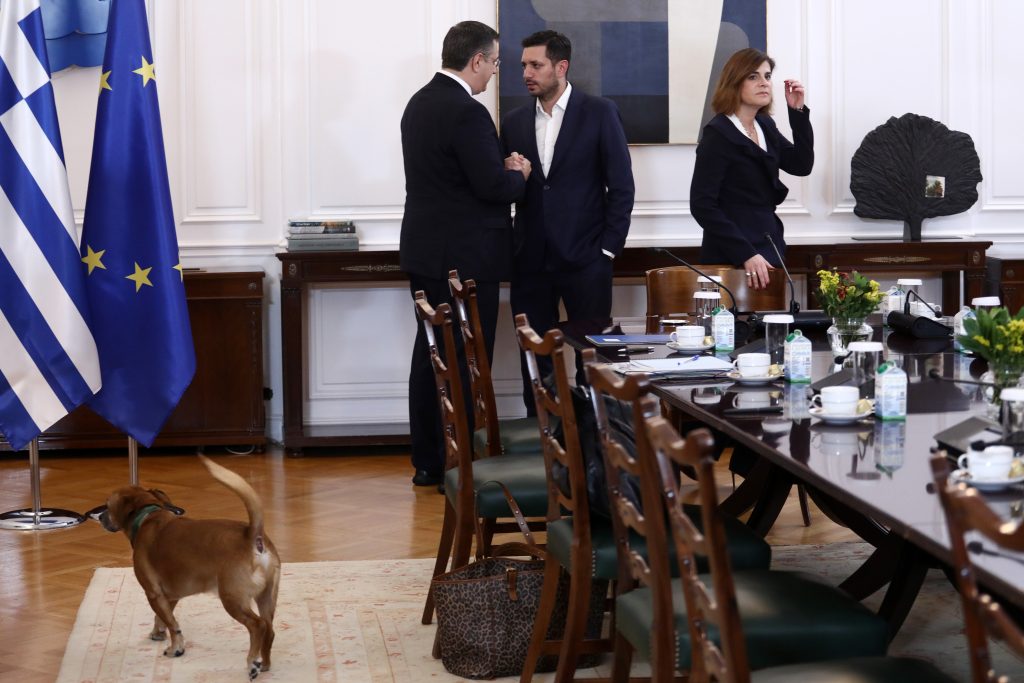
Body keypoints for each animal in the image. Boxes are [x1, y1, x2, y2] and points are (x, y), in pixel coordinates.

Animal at [99, 455, 280, 680]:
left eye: (108, 505)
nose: (99, 517)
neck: (148, 516)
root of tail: (252, 535)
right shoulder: (169, 597)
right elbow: (163, 618)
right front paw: (157, 633)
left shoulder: (153, 594)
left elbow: (173, 625)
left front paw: (175, 648)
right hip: (266, 597)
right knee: (269, 630)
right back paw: (264, 664)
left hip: (232, 599)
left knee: (257, 626)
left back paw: (252, 664)